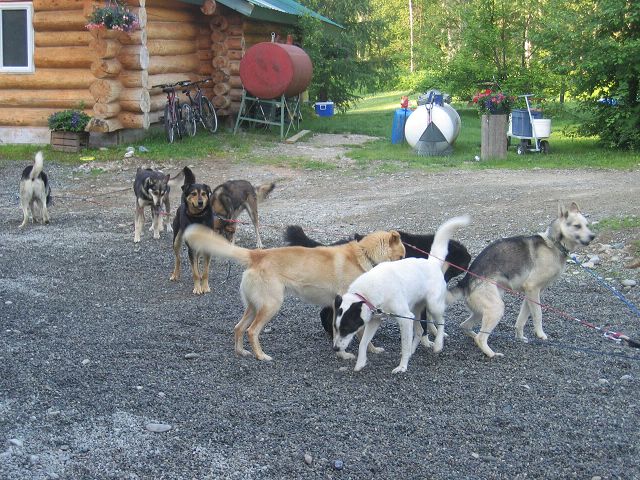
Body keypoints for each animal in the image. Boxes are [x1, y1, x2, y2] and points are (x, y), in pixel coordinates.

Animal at [183, 225, 405, 361]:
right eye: (402, 255)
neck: (365, 255)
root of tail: (256, 255)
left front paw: (370, 350)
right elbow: (357, 333)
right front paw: (346, 354)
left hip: (254, 306)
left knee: (238, 328)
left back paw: (242, 352)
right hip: (270, 306)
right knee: (251, 331)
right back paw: (261, 356)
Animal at [332, 216, 470, 373]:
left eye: (347, 328)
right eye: (336, 328)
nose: (335, 349)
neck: (368, 291)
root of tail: (432, 262)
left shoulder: (404, 319)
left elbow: (404, 345)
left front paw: (402, 367)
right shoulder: (374, 321)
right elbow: (363, 344)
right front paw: (360, 363)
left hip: (432, 306)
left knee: (441, 322)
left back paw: (438, 345)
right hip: (415, 311)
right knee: (419, 330)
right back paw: (412, 351)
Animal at [448, 202, 596, 358]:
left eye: (587, 225)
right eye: (577, 226)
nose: (593, 236)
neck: (554, 244)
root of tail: (465, 282)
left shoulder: (530, 295)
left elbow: (522, 319)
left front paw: (519, 337)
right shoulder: (532, 289)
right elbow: (538, 315)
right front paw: (540, 334)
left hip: (481, 312)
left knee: (465, 326)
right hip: (496, 308)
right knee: (480, 338)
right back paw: (492, 354)